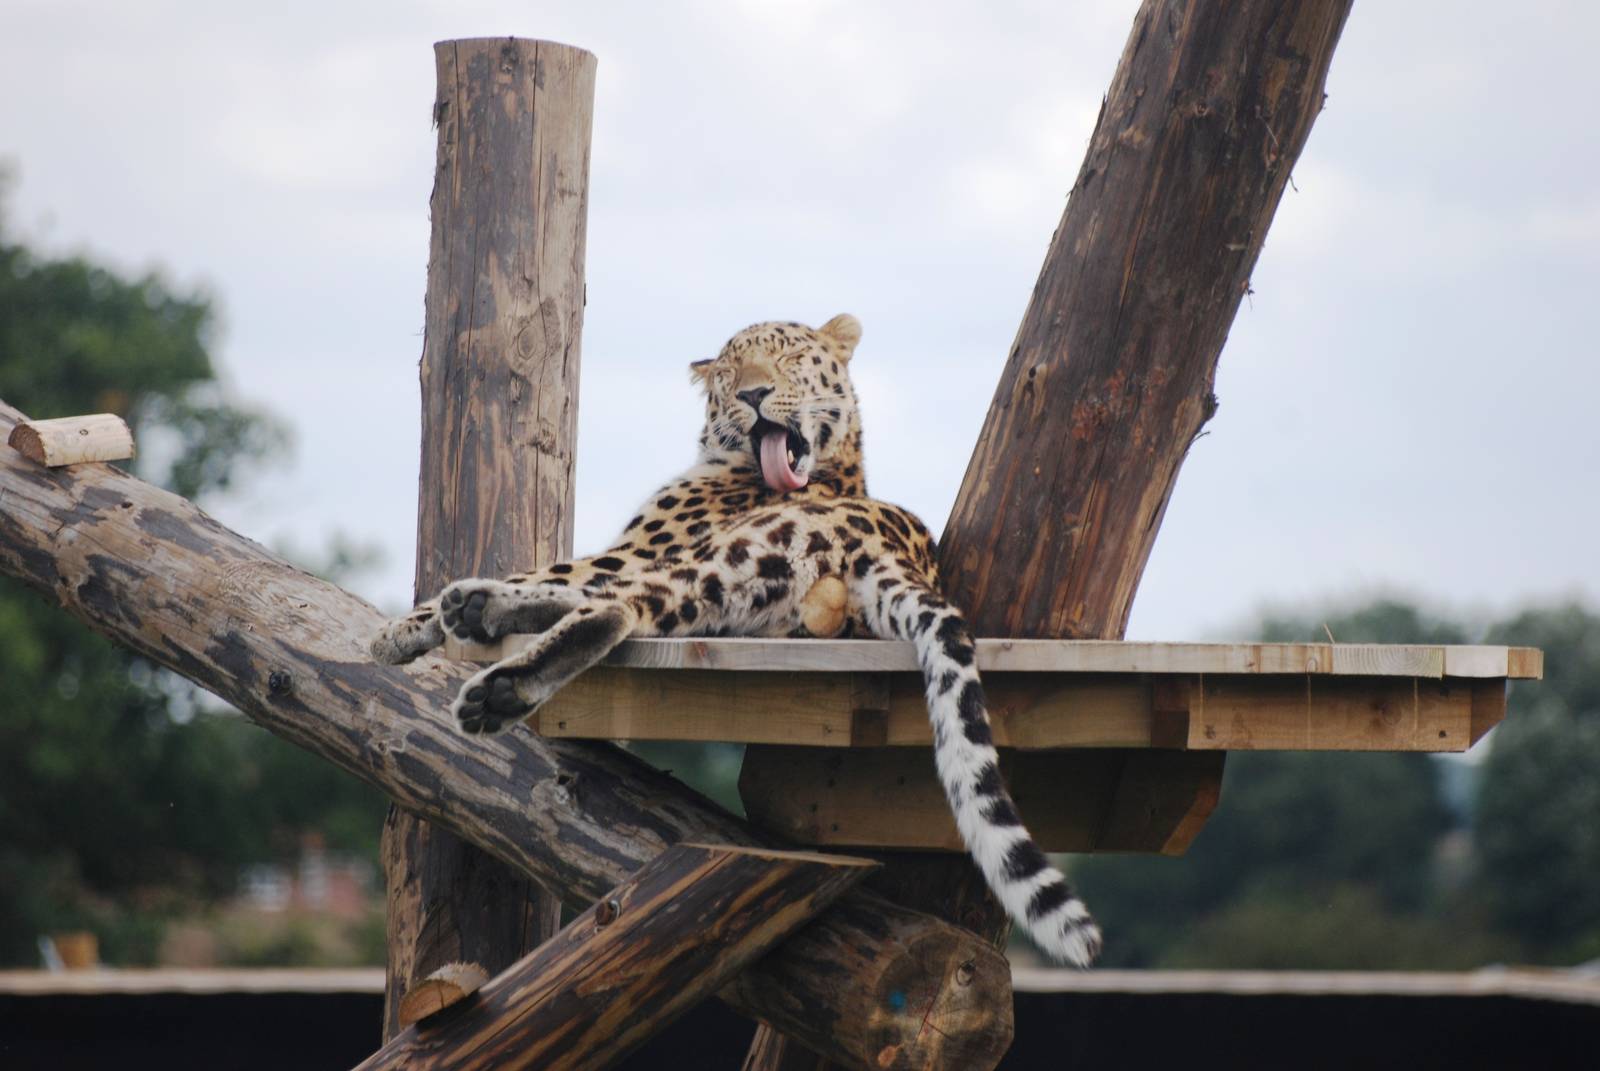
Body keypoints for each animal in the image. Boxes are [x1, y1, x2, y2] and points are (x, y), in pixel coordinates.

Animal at [370, 313, 1102, 966]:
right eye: (731, 371)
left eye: (788, 359)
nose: (752, 394)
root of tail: (892, 552)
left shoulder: (635, 545)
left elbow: (545, 569)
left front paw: (399, 630)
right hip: (733, 584)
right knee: (633, 606)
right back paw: (485, 632)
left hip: (715, 557)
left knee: (619, 605)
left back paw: (491, 663)